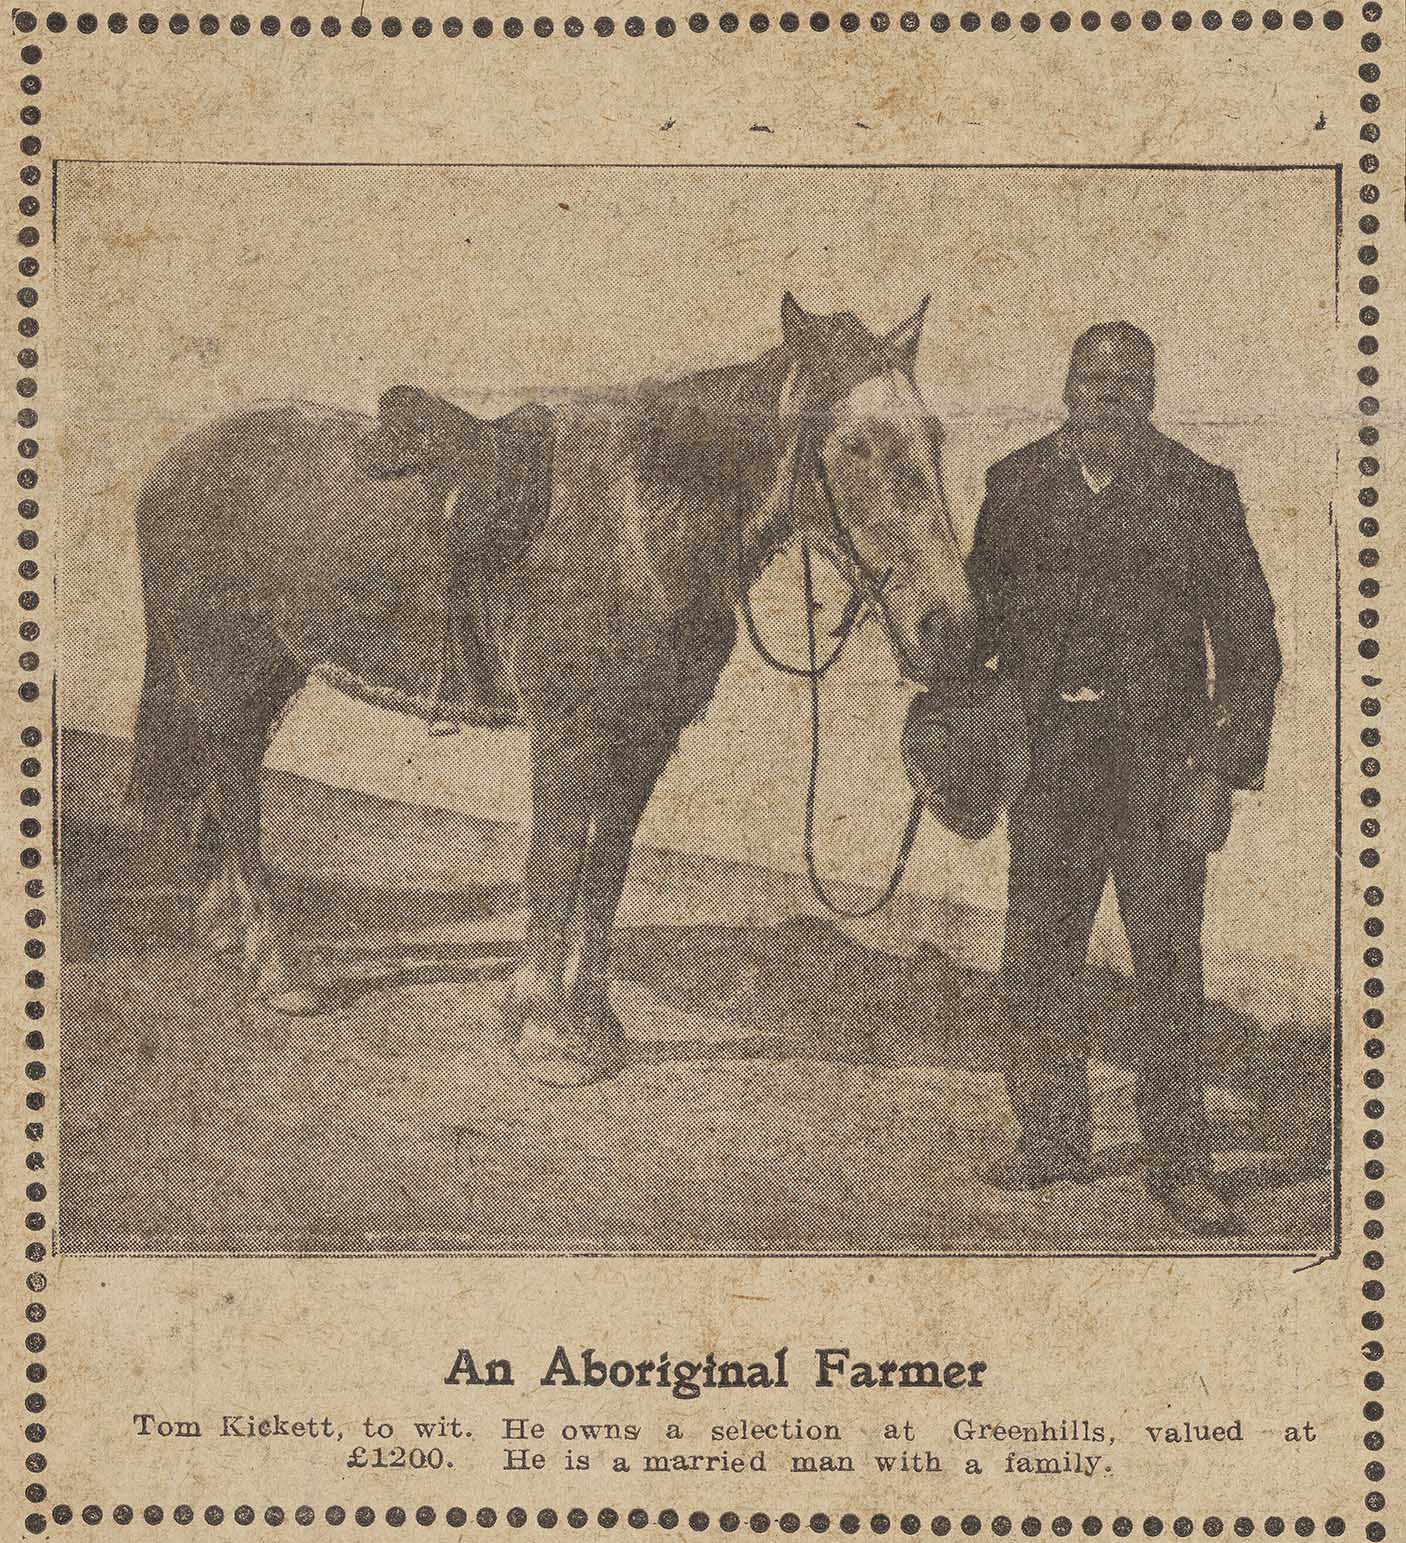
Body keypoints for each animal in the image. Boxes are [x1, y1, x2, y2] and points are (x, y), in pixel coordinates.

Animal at [126, 291, 981, 1086]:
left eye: (936, 439)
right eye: (856, 444)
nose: (948, 623)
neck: (641, 522)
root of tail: (172, 462)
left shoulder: (645, 740)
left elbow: (605, 874)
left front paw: (596, 1025)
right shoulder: (568, 732)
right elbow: (554, 860)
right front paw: (541, 1029)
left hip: (267, 679)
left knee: (222, 781)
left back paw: (226, 930)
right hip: (225, 673)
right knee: (240, 799)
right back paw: (281, 970)